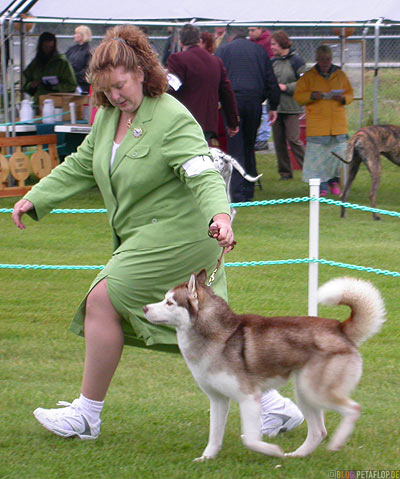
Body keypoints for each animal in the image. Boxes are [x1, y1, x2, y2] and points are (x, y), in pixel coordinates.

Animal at [144, 274, 384, 462]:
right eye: (164, 299)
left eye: (169, 302)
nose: (145, 307)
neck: (216, 335)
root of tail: (340, 328)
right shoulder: (218, 399)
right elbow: (214, 436)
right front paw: (206, 458)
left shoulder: (249, 398)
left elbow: (250, 439)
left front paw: (272, 451)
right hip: (304, 392)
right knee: (318, 431)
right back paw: (297, 455)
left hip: (316, 391)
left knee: (353, 409)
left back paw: (336, 443)